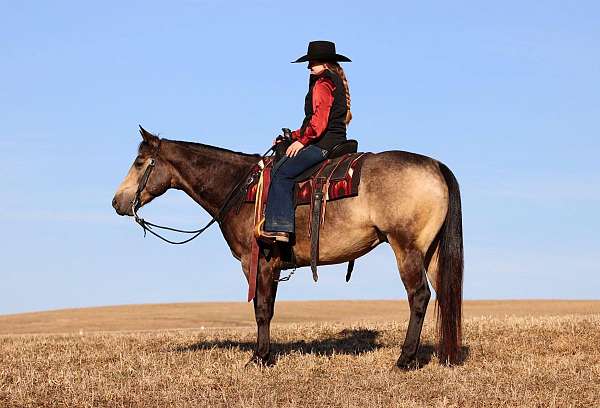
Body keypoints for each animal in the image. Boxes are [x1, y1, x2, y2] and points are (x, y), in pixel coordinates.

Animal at [111, 127, 464, 370]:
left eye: (140, 162)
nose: (117, 202)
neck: (240, 188)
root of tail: (435, 165)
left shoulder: (257, 263)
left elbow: (262, 310)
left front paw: (259, 358)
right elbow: (266, 308)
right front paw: (264, 355)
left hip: (406, 248)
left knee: (419, 296)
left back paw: (405, 359)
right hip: (431, 252)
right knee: (444, 295)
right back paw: (446, 354)